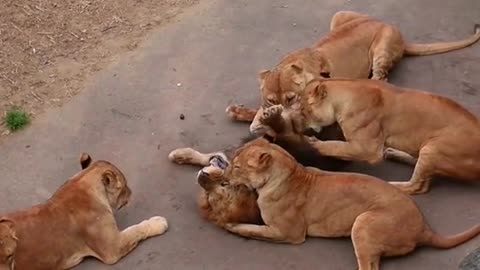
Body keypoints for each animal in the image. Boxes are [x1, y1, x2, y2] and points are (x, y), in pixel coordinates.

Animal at [0, 153, 169, 268]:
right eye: (124, 185)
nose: (131, 192)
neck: (83, 182)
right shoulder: (112, 248)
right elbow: (136, 229)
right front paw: (159, 222)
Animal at [221, 137, 480, 270]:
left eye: (237, 166)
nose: (223, 178)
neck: (290, 173)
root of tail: (424, 228)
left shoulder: (290, 234)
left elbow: (254, 230)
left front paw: (232, 225)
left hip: (363, 223)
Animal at [226, 10, 480, 135]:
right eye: (271, 100)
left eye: (291, 98)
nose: (280, 109)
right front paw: (242, 112)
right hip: (339, 16)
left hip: (382, 45)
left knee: (381, 77)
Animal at [296, 78, 480, 194]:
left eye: (304, 110)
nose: (299, 126)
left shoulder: (369, 149)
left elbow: (335, 146)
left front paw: (313, 143)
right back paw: (394, 153)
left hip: (433, 148)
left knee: (418, 186)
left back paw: (392, 185)